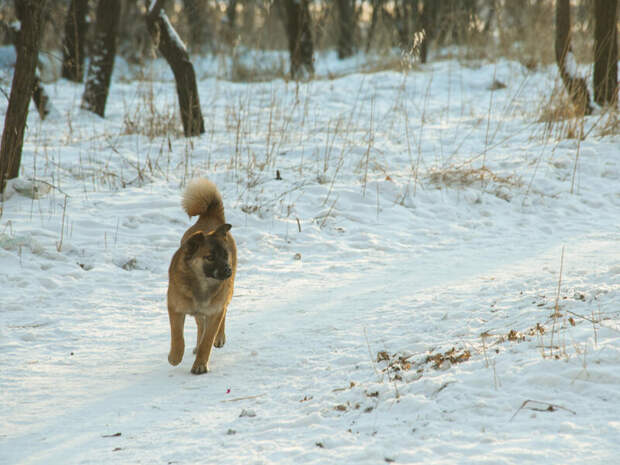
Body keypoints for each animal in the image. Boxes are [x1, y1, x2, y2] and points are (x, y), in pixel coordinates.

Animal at [166, 178, 236, 374]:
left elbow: (207, 341)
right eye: (210, 257)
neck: (202, 284)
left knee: (222, 314)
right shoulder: (175, 309)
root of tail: (210, 217)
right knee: (199, 325)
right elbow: (178, 336)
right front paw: (175, 356)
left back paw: (219, 338)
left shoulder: (214, 312)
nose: (228, 271)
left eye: (225, 255)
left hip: (226, 296)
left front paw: (200, 364)